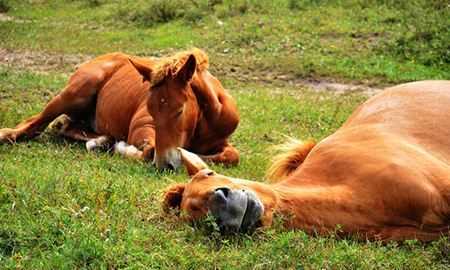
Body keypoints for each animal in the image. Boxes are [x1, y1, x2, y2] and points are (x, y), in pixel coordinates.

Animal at [0, 47, 239, 168]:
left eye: (180, 110)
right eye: (151, 110)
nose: (165, 165)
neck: (204, 119)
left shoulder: (221, 141)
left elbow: (231, 156)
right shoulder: (141, 128)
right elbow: (148, 150)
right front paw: (126, 149)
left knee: (66, 127)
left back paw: (102, 141)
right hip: (75, 92)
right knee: (35, 124)